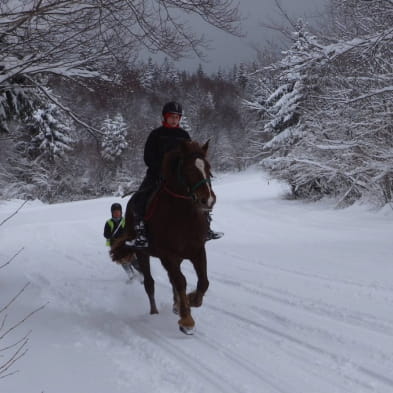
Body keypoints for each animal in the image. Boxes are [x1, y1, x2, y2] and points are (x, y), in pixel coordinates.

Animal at [109, 139, 214, 332]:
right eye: (189, 170)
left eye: (208, 168)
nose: (208, 200)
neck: (182, 216)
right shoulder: (168, 255)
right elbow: (180, 281)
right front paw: (187, 320)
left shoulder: (197, 250)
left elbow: (203, 281)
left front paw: (190, 301)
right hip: (142, 254)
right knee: (150, 283)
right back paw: (155, 312)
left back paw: (176, 305)